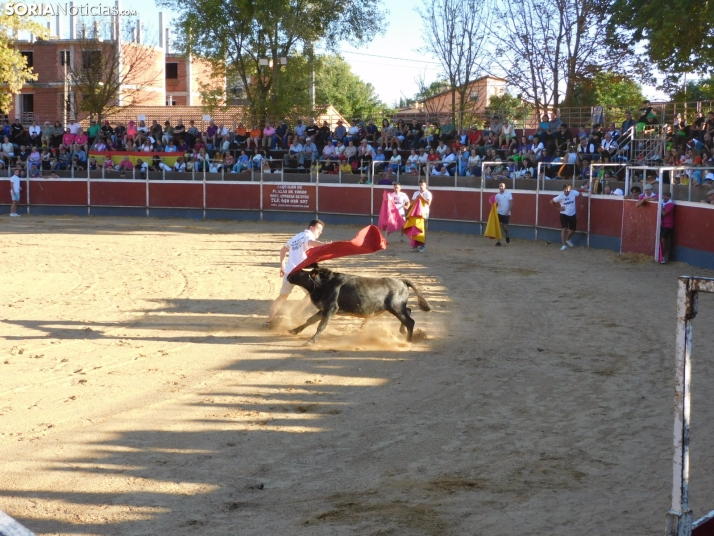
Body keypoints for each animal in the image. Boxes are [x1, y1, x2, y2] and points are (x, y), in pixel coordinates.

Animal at [284, 264, 428, 344]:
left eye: (299, 272)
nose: (288, 276)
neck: (325, 283)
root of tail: (403, 281)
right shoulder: (324, 309)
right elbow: (310, 320)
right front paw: (294, 330)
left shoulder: (331, 308)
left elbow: (321, 326)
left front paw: (311, 341)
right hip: (397, 308)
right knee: (408, 312)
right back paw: (403, 332)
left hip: (396, 308)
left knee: (410, 321)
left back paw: (408, 341)